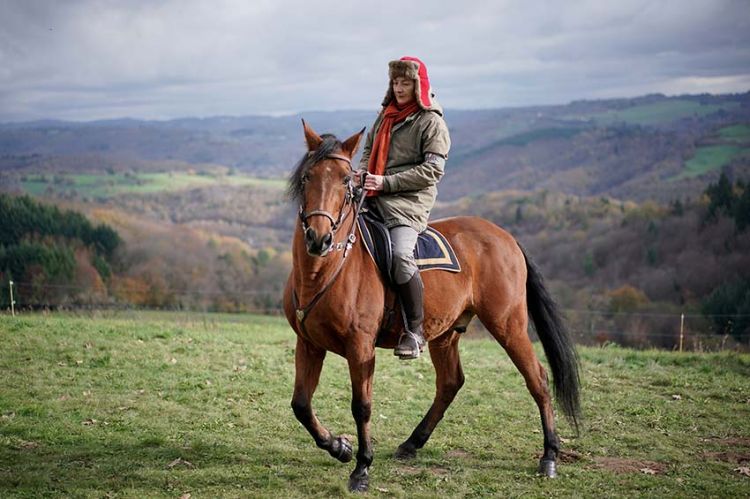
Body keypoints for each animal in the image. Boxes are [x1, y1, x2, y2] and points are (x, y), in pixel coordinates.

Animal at [284, 120, 584, 492]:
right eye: (307, 177)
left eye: (345, 180)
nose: (319, 238)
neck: (323, 271)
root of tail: (506, 237)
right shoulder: (308, 344)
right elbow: (301, 404)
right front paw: (340, 447)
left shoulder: (360, 347)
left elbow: (362, 406)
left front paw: (362, 468)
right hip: (445, 333)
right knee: (451, 382)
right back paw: (412, 443)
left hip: (508, 325)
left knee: (538, 379)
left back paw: (550, 456)